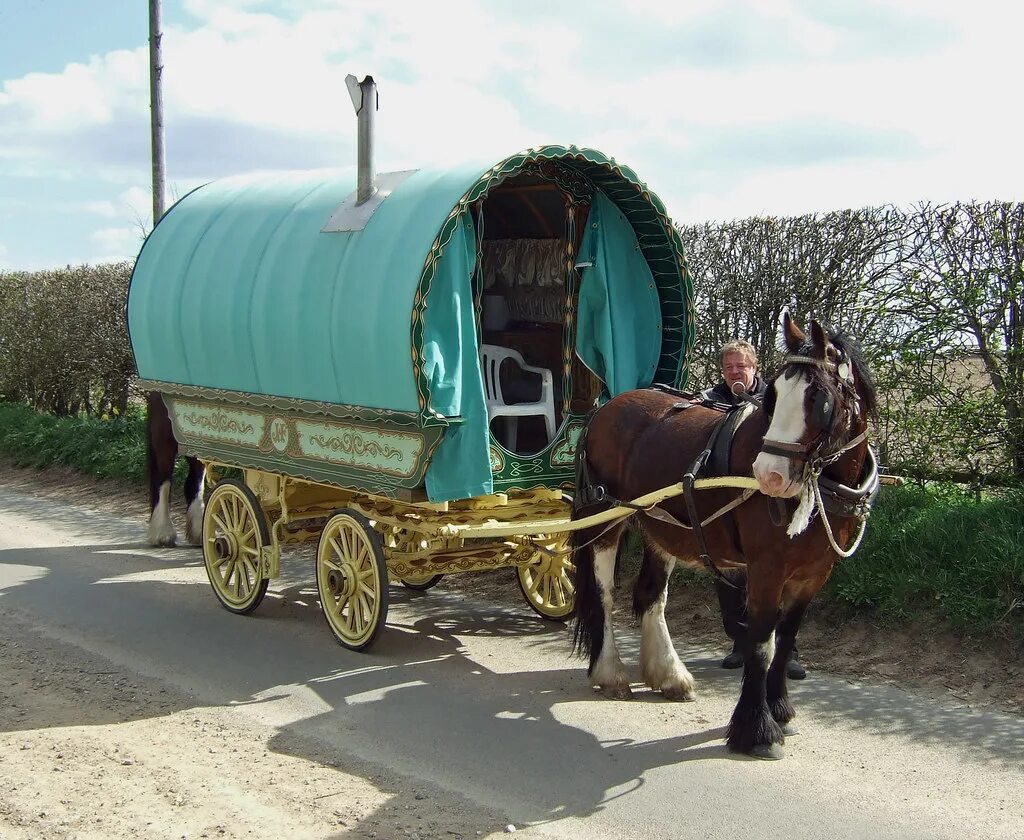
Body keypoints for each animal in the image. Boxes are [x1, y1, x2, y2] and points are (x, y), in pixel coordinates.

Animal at [573, 315, 876, 762]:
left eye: (819, 398)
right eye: (773, 396)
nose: (769, 476)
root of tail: (605, 408)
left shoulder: (813, 575)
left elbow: (787, 639)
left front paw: (780, 708)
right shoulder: (766, 570)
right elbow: (762, 644)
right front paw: (757, 729)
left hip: (661, 525)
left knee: (651, 595)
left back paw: (669, 674)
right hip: (606, 517)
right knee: (604, 592)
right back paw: (610, 672)